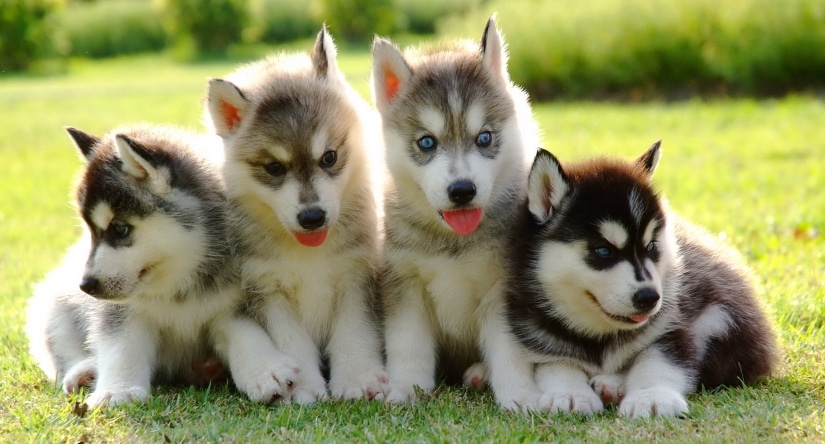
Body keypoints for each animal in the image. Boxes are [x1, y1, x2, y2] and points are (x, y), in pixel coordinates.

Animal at [25, 123, 302, 408]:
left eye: (120, 228)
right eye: (90, 231)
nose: (86, 285)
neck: (177, 281)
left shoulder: (233, 303)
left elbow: (245, 334)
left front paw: (265, 370)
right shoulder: (121, 311)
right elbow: (121, 345)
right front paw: (118, 390)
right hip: (53, 303)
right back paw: (85, 371)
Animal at [204, 27, 388, 402]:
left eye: (330, 157)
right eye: (274, 168)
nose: (312, 217)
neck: (308, 254)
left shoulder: (356, 276)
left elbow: (354, 333)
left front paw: (357, 378)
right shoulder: (266, 290)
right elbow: (292, 343)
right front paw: (302, 387)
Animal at [372, 15, 540, 408]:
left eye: (484, 138)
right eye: (426, 142)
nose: (462, 191)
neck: (452, 242)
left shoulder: (503, 289)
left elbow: (510, 349)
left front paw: (519, 396)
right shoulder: (403, 283)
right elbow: (408, 343)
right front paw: (405, 388)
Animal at [502, 143, 780, 420]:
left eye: (651, 246)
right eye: (603, 250)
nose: (650, 298)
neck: (599, 337)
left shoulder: (673, 326)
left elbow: (658, 361)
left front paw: (651, 397)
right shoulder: (541, 340)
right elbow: (559, 366)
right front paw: (570, 394)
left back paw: (611, 384)